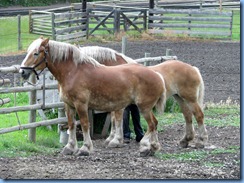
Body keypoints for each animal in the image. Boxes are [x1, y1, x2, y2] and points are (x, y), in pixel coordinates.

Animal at [20, 38, 167, 157]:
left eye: (36, 53)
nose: (22, 72)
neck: (73, 72)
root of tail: (157, 75)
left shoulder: (81, 105)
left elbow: (85, 125)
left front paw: (85, 148)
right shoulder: (69, 105)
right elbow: (71, 125)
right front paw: (70, 147)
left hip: (144, 108)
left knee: (151, 125)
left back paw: (146, 148)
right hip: (145, 108)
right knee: (154, 124)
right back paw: (152, 147)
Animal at [77, 45, 208, 149]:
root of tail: (193, 68)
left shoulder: (120, 106)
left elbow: (117, 120)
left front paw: (116, 140)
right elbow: (114, 120)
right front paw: (111, 138)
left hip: (190, 99)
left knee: (199, 115)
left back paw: (201, 141)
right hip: (180, 98)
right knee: (188, 116)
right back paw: (185, 140)